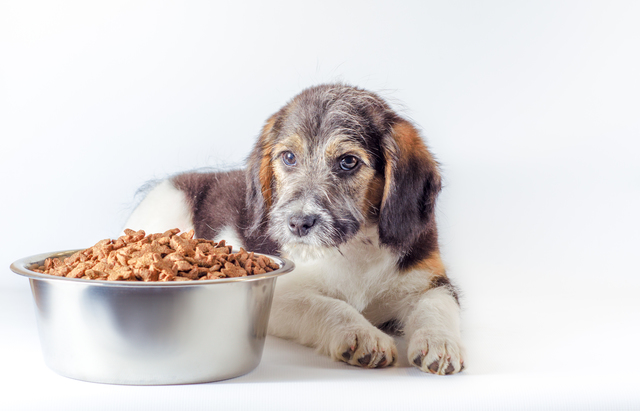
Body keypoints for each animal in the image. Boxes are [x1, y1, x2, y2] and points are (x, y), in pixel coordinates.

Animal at [125, 84, 464, 376]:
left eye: (348, 162)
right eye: (289, 157)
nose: (298, 223)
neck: (354, 249)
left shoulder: (431, 281)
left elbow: (437, 306)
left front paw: (441, 343)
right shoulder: (283, 295)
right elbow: (328, 305)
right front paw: (360, 333)